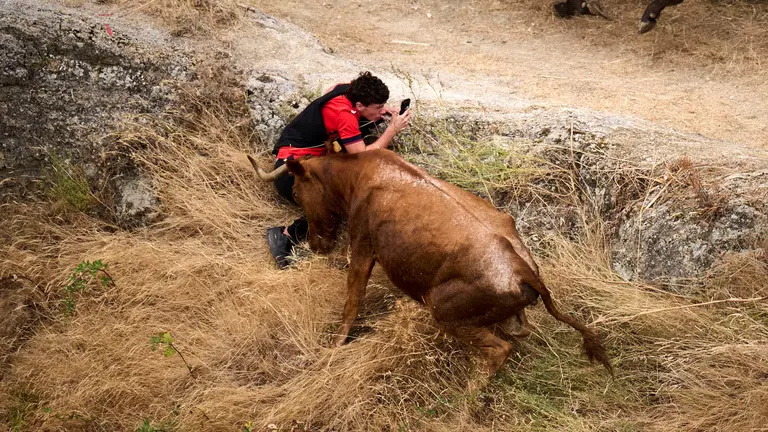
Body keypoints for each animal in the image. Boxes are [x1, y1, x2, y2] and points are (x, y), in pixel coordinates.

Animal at [248, 150, 612, 377]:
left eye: (297, 190)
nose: (316, 244)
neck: (359, 174)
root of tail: (523, 270)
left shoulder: (363, 245)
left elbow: (352, 300)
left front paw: (334, 347)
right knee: (518, 332)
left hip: (444, 312)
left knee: (499, 349)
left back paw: (465, 407)